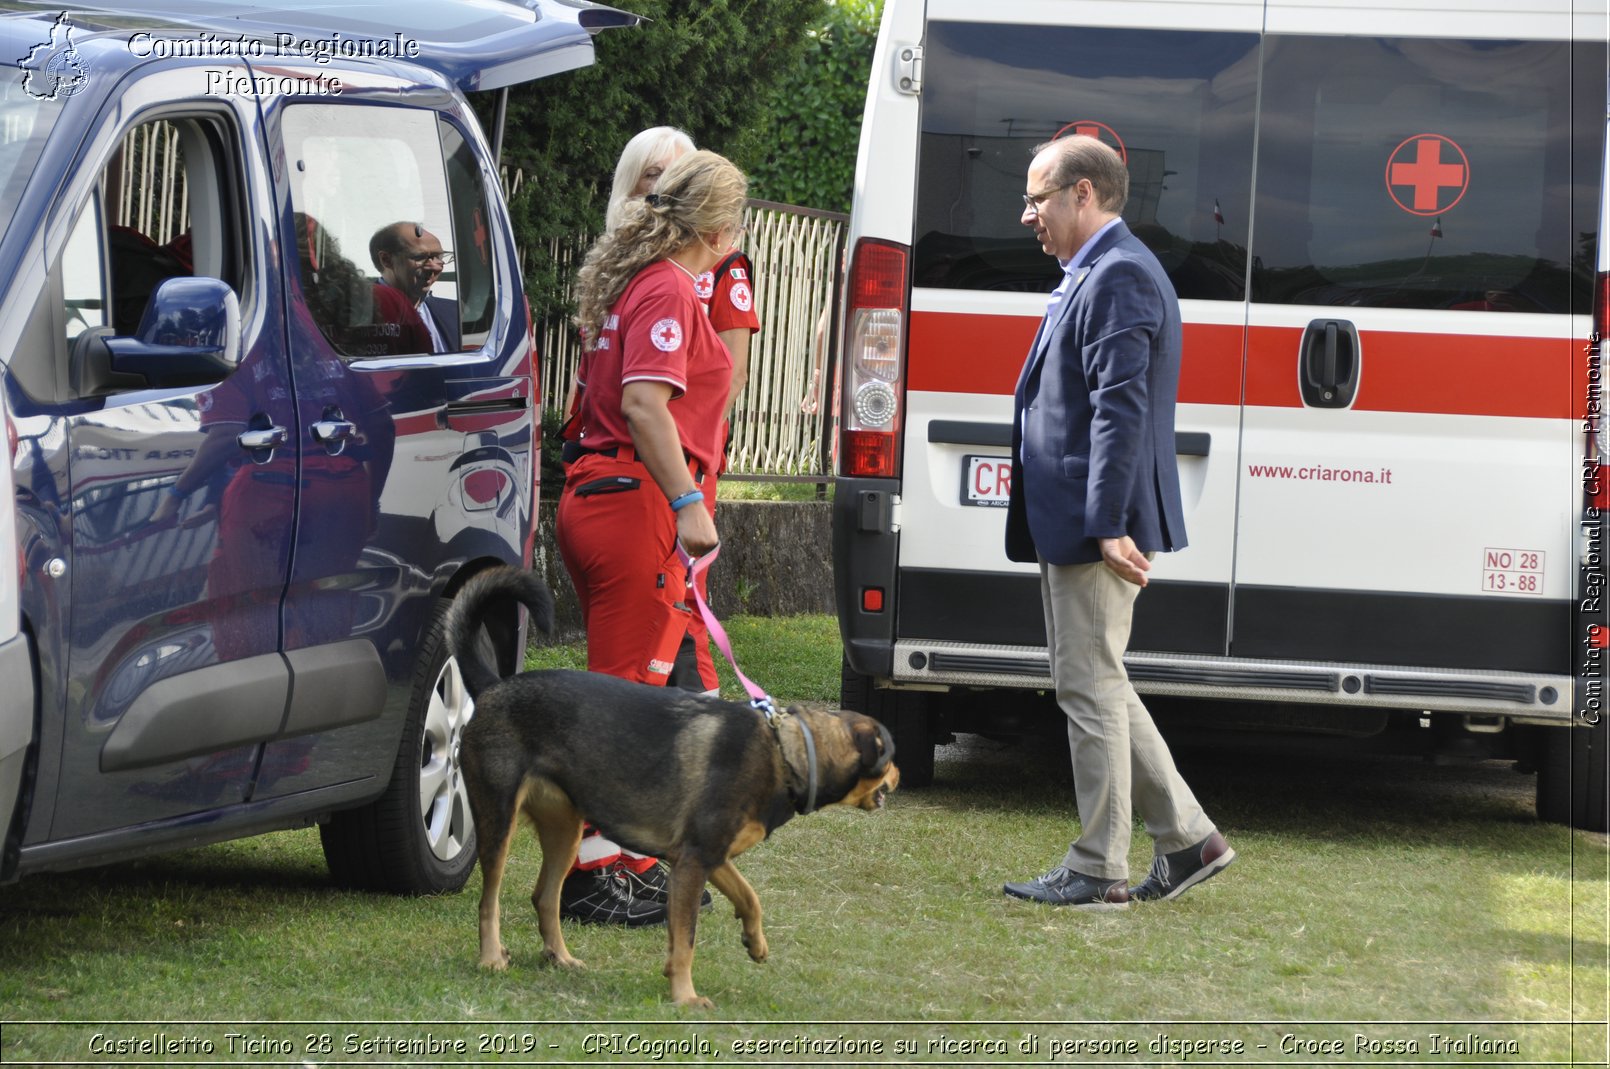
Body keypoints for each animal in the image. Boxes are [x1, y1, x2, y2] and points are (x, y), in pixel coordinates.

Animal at [444, 566, 895, 1011]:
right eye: (889, 753)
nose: (899, 775)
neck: (785, 752)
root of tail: (493, 685)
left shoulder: (705, 857)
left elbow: (750, 896)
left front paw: (755, 941)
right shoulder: (693, 865)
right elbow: (685, 943)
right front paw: (685, 996)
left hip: (565, 832)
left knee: (544, 896)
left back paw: (561, 957)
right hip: (499, 820)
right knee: (489, 901)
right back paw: (491, 958)